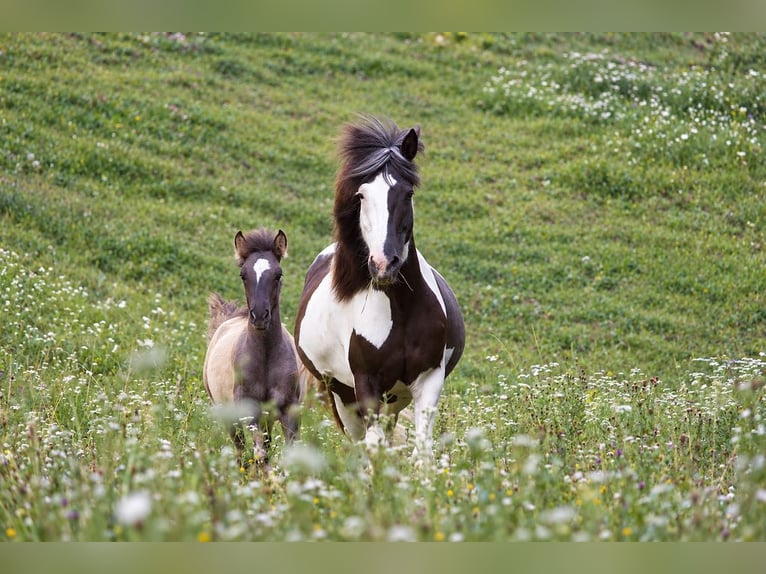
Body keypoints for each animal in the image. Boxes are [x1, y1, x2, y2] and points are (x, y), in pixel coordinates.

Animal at [203, 228, 304, 468]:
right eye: (243, 275)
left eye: (278, 274)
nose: (259, 316)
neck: (266, 358)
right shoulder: (250, 411)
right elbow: (260, 455)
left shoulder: (289, 410)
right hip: (229, 415)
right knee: (240, 449)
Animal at [294, 115, 465, 459]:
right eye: (361, 196)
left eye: (408, 193)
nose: (385, 264)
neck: (399, 310)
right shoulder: (366, 385)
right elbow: (372, 448)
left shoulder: (429, 379)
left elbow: (422, 451)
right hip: (343, 396)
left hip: (394, 399)